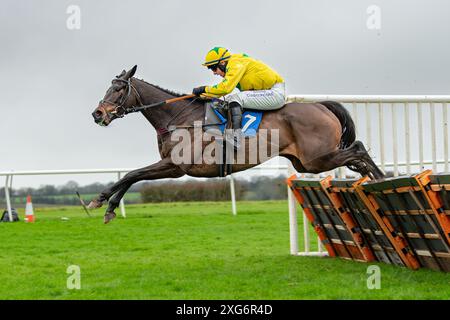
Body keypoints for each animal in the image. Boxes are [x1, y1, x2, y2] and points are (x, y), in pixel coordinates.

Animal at [90, 65, 384, 222]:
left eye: (118, 89)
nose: (97, 114)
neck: (179, 117)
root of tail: (321, 105)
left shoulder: (175, 166)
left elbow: (131, 174)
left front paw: (100, 200)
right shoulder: (171, 165)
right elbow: (132, 176)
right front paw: (109, 207)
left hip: (316, 158)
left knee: (358, 148)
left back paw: (379, 177)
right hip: (307, 162)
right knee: (355, 154)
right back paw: (373, 176)